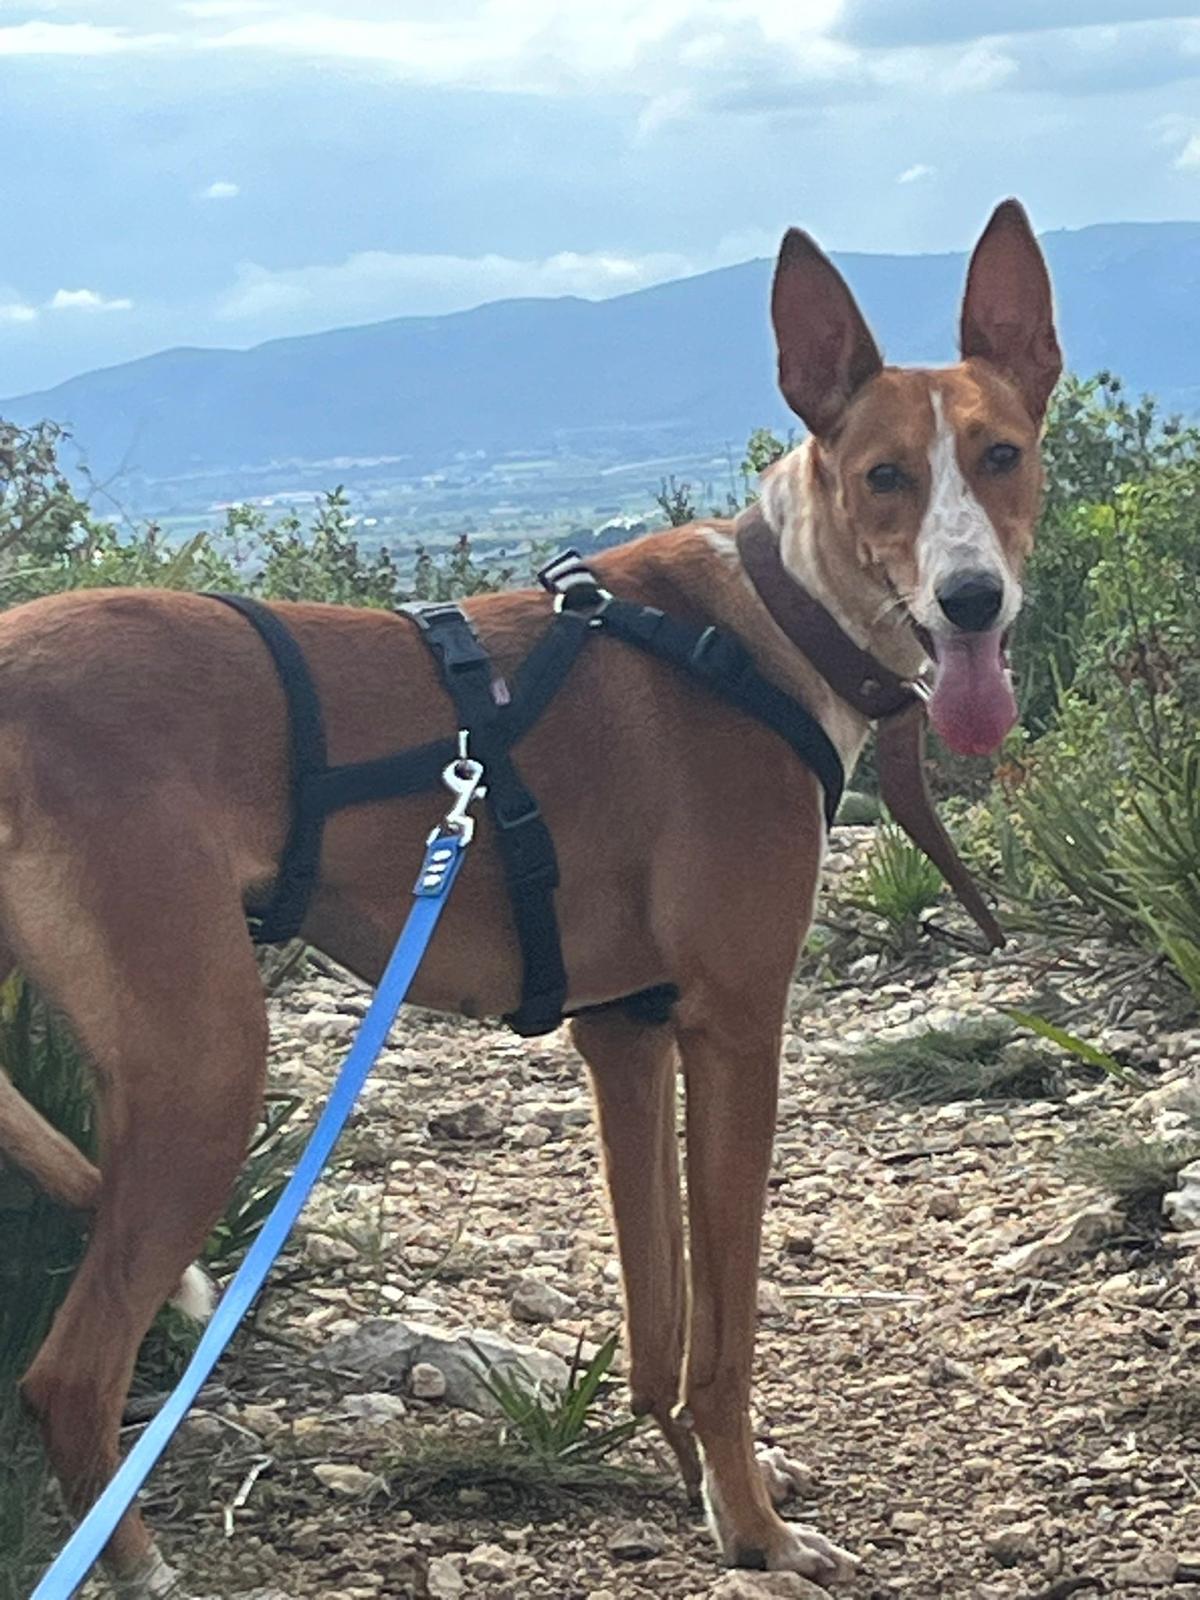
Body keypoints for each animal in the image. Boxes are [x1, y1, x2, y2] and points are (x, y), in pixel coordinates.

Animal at [0, 203, 1062, 1600]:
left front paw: (702, 1482)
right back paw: (137, 1564)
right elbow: (726, 1329)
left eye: (1001, 456)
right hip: (205, 1068)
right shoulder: (738, 1029)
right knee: (67, 1372)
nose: (971, 599)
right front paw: (756, 1529)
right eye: (885, 474)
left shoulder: (628, 1033)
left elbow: (662, 1324)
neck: (773, 621)